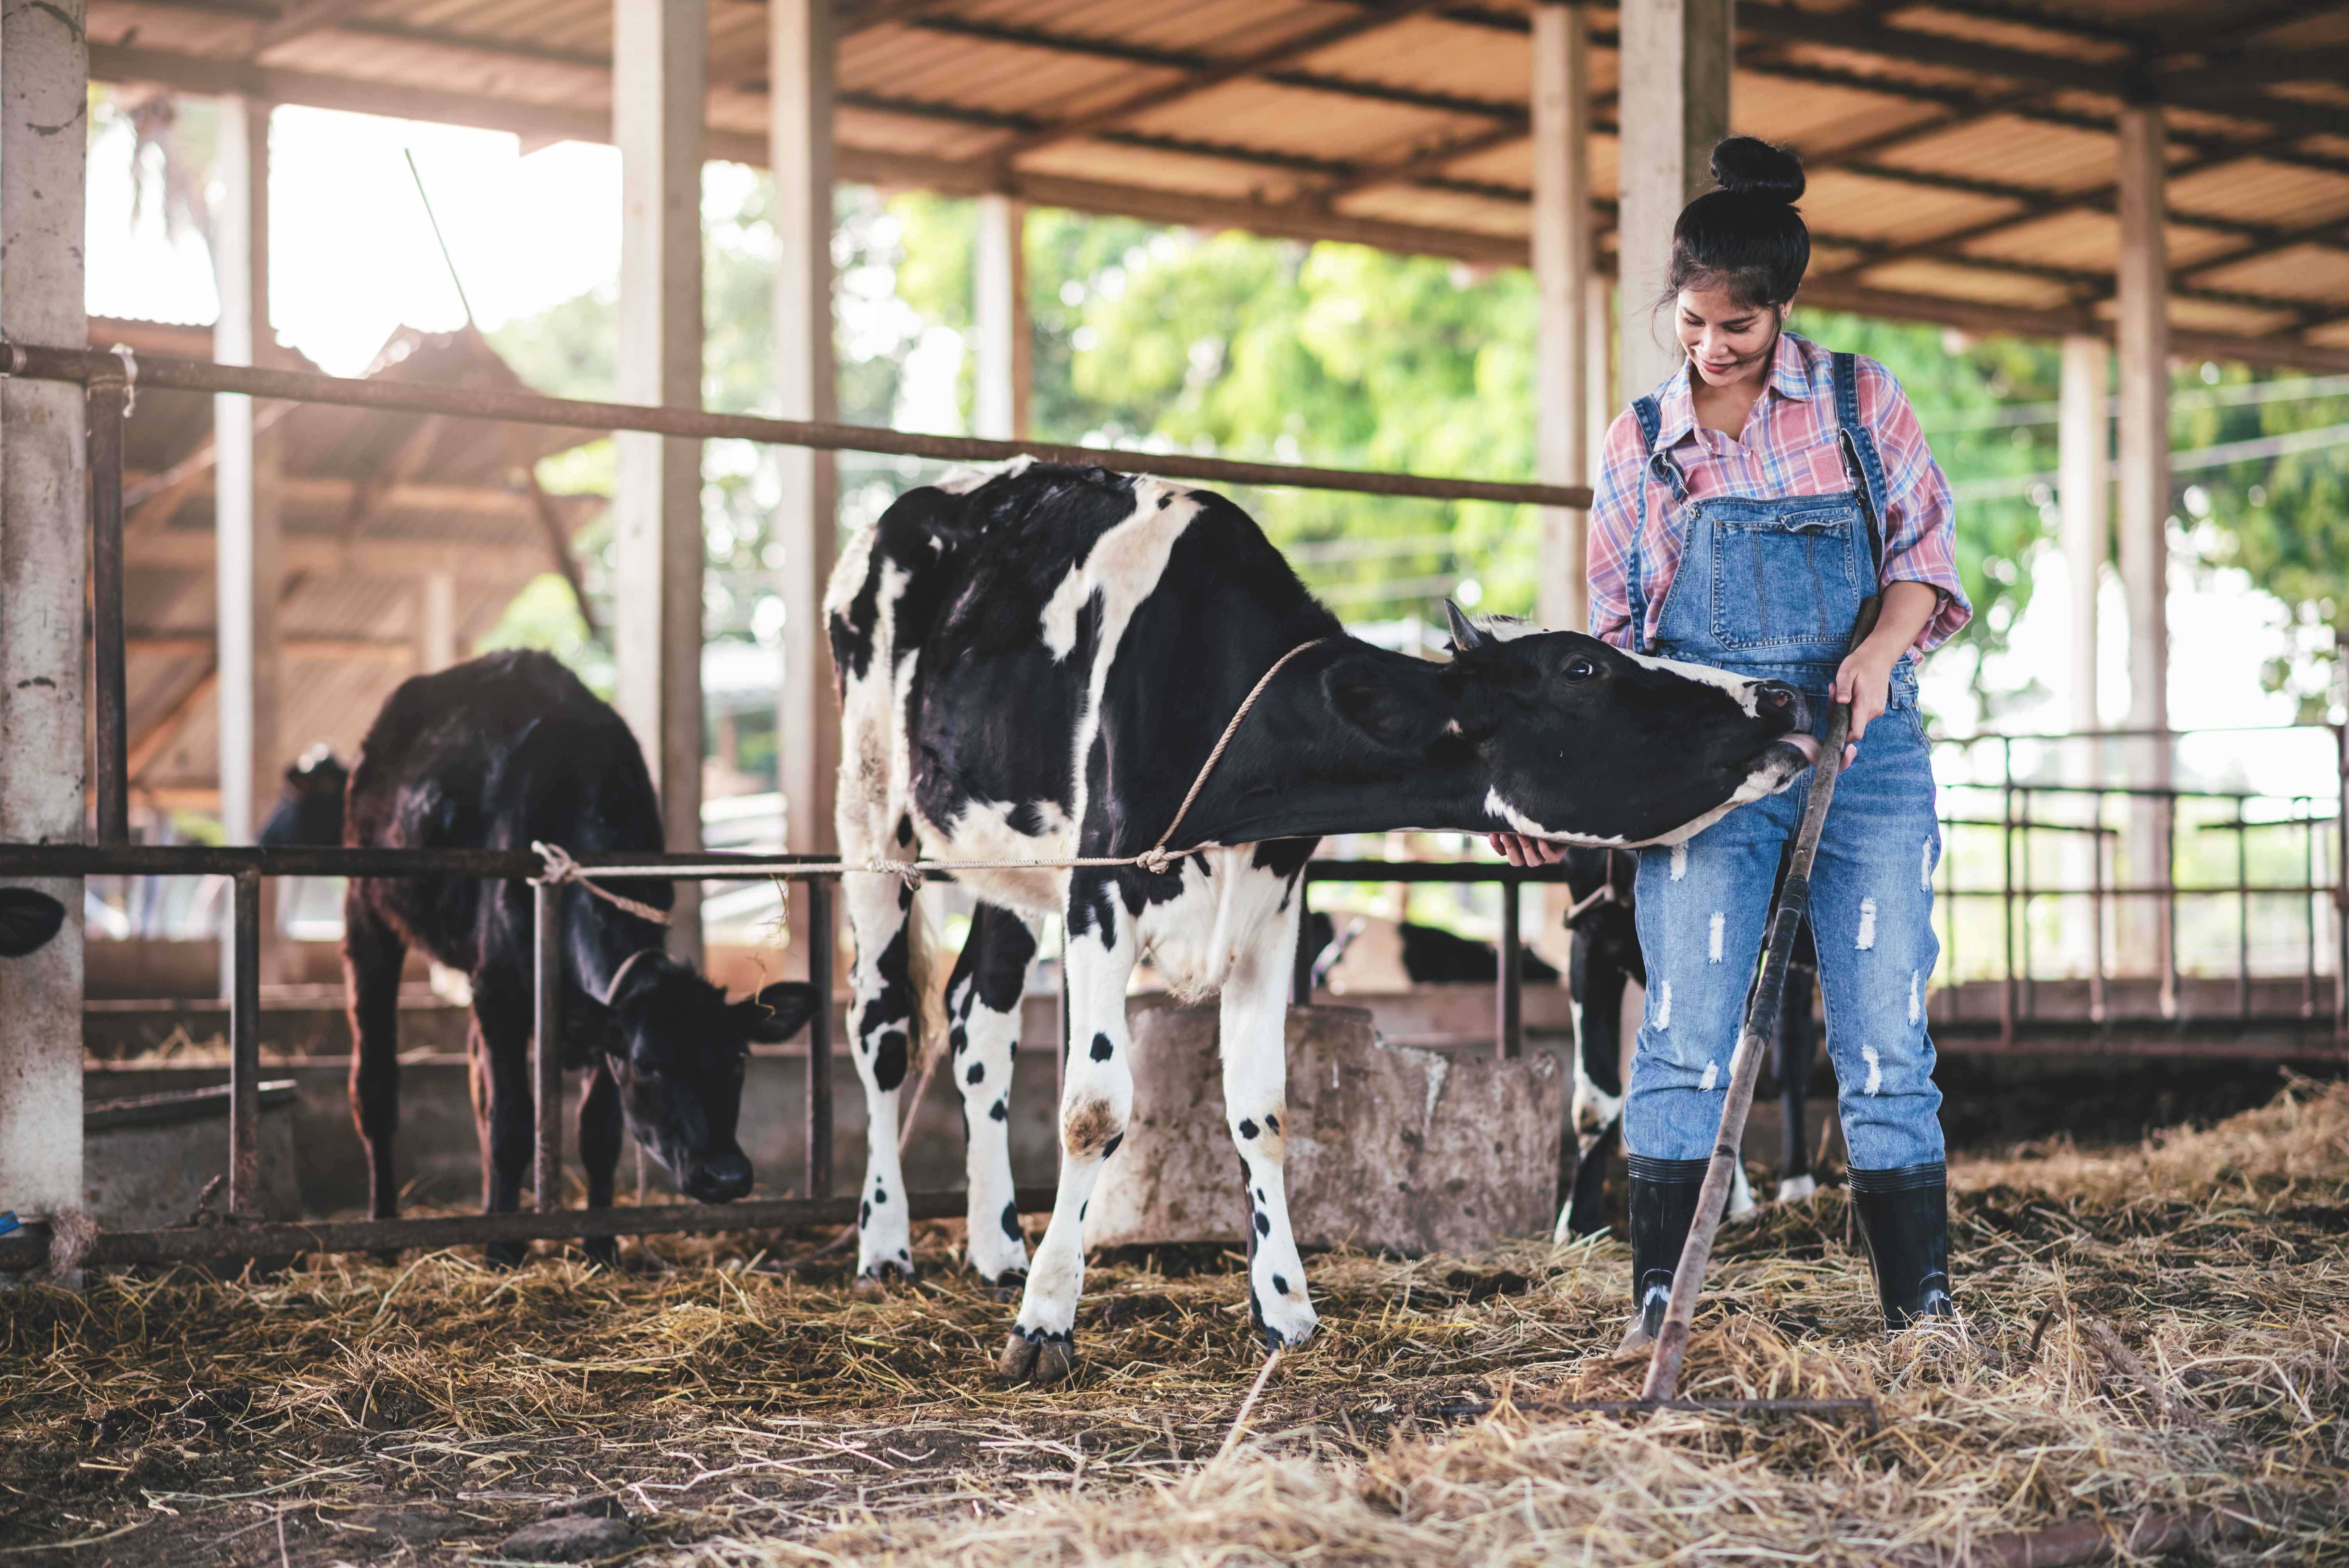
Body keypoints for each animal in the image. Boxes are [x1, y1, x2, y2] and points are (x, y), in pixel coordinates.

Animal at [338, 651, 819, 1263]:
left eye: (739, 1057)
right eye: (647, 1063)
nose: (726, 1175)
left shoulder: (596, 1017)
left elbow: (598, 1132)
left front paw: (600, 1244)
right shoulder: (502, 990)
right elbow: (511, 1125)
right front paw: (504, 1248)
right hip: (368, 908)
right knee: (375, 1086)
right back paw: (383, 1233)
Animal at [825, 458, 1821, 1383]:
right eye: (1584, 668)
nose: (1779, 696)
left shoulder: (1269, 909)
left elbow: (1262, 1109)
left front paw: (1283, 1305)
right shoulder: (1097, 894)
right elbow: (1092, 1109)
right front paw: (1044, 1324)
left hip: (1008, 865)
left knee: (977, 1020)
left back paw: (996, 1245)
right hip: (873, 821)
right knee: (883, 1029)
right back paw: (886, 1244)